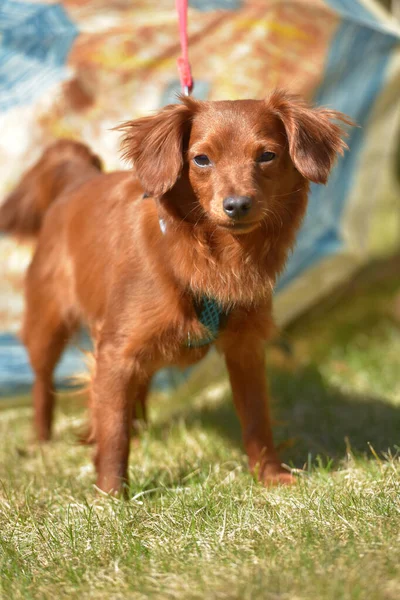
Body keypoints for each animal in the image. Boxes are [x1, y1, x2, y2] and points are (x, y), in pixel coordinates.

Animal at [0, 92, 352, 492]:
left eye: (267, 155)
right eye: (201, 159)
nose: (237, 205)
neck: (212, 258)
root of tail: (78, 180)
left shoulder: (246, 348)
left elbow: (256, 417)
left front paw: (270, 476)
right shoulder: (116, 352)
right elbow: (113, 431)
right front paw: (110, 495)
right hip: (49, 324)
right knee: (43, 382)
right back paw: (41, 442)